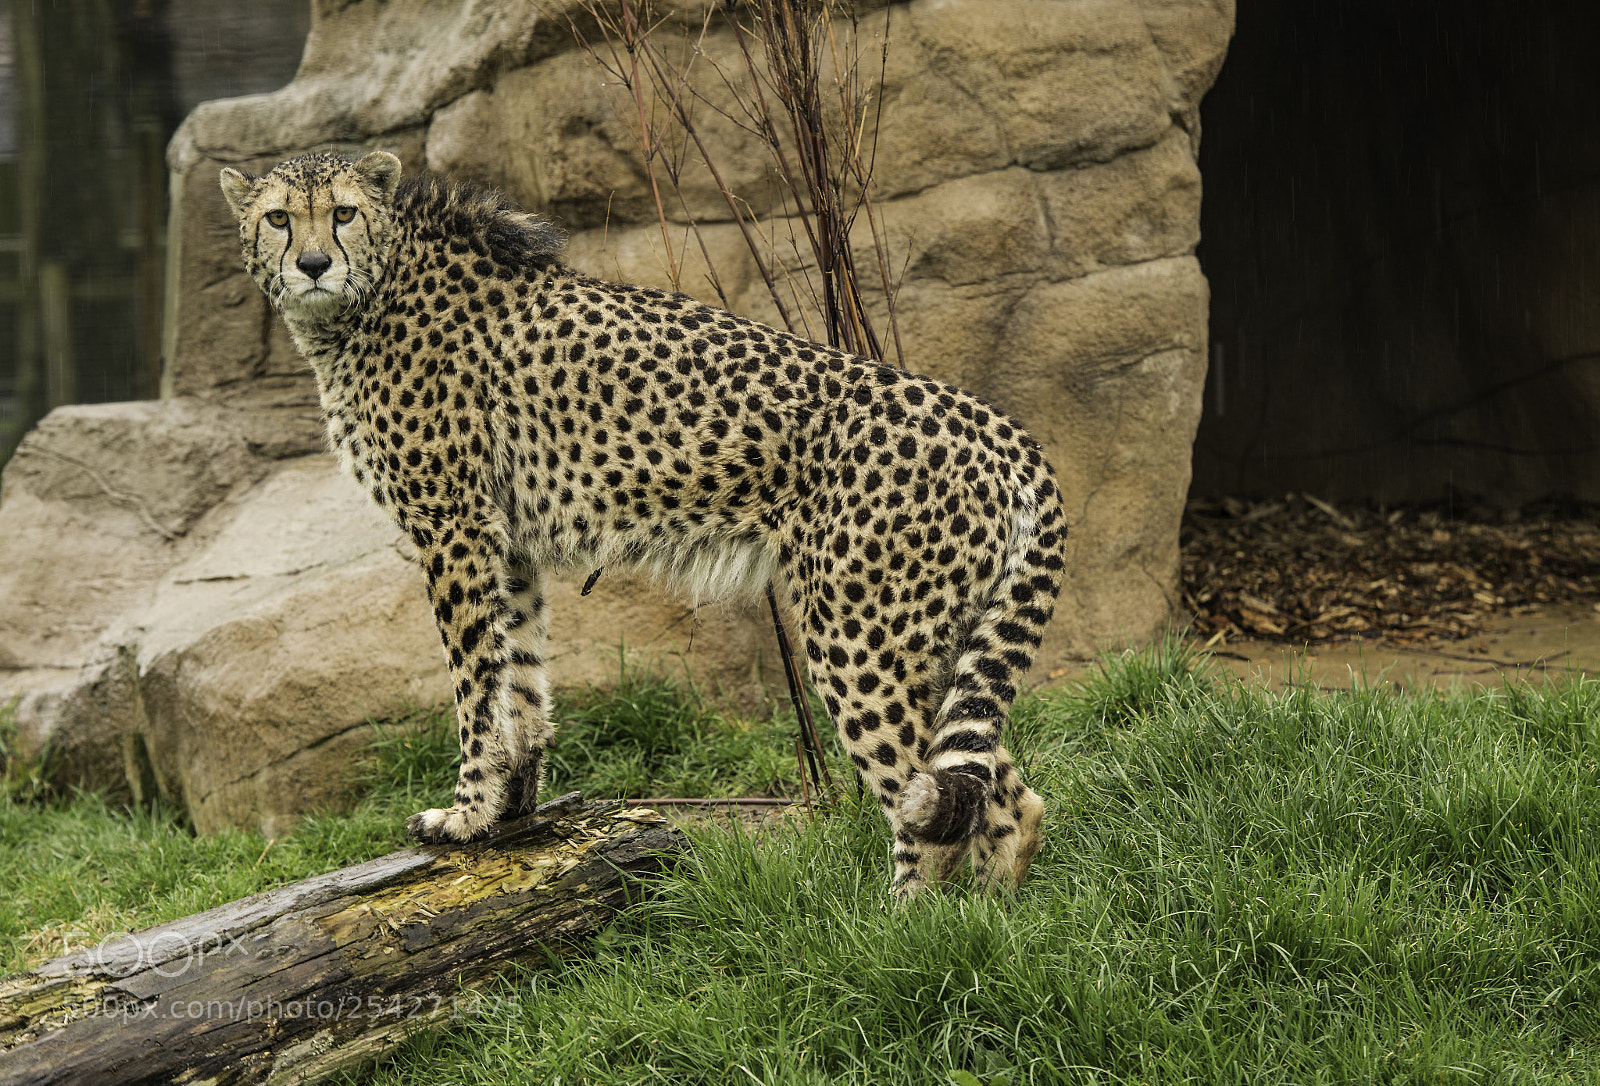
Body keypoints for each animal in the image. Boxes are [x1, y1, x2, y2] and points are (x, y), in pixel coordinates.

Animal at [220, 150, 1065, 896]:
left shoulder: (452, 530)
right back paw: (988, 926)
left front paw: (464, 816)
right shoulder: (507, 542)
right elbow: (520, 677)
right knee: (1002, 792)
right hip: (935, 634)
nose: (314, 264)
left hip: (859, 633)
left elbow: (472, 686)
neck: (369, 296)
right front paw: (510, 807)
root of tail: (1000, 426)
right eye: (278, 219)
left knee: (926, 801)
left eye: (342, 213)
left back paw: (902, 933)